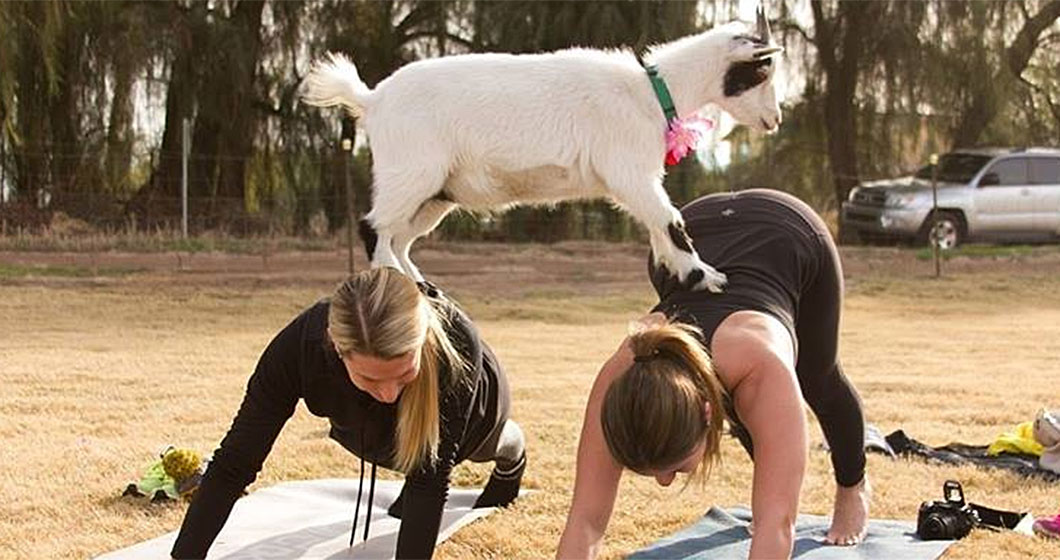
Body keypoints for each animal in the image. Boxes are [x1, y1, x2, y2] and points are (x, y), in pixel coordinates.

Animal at [303, 8, 784, 292]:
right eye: (763, 70)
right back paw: (396, 281)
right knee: (373, 227)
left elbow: (657, 227)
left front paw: (679, 271)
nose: (775, 119)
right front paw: (707, 276)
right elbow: (671, 221)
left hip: (436, 193)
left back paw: (423, 286)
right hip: (411, 172)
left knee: (399, 237)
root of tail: (371, 99)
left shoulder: (637, 180)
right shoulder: (630, 172)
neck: (649, 90)